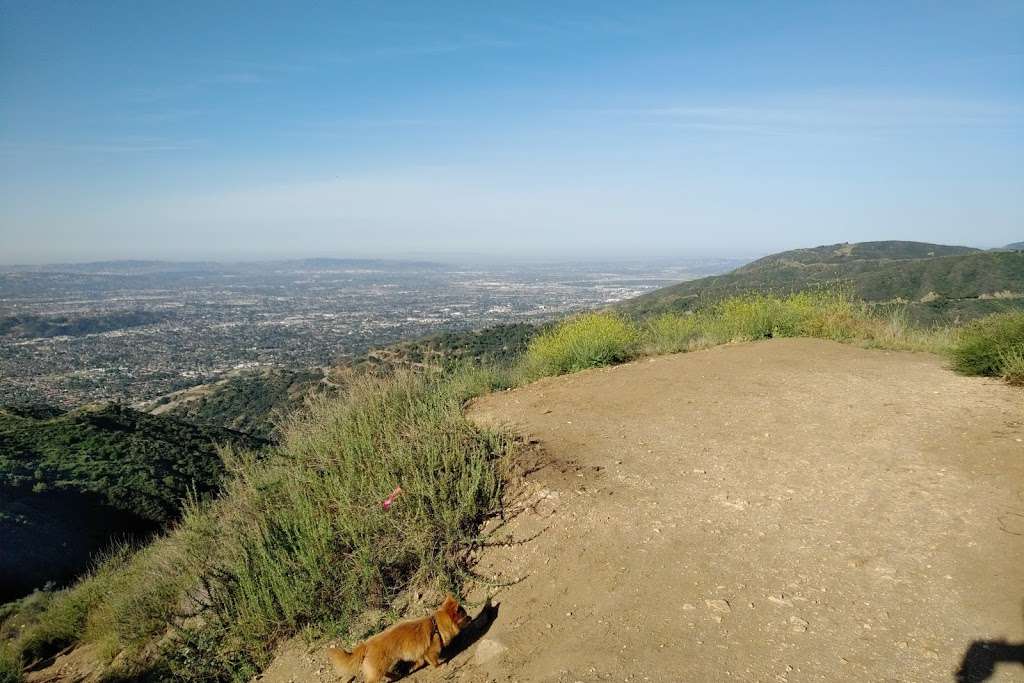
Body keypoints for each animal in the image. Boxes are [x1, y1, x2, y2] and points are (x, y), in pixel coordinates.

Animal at [327, 593, 471, 679]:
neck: (436, 625)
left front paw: (412, 667)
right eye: (465, 616)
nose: (470, 617)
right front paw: (440, 666)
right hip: (377, 670)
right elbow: (433, 661)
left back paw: (395, 676)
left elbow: (419, 661)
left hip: (380, 668)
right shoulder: (431, 651)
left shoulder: (419, 653)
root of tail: (366, 644)